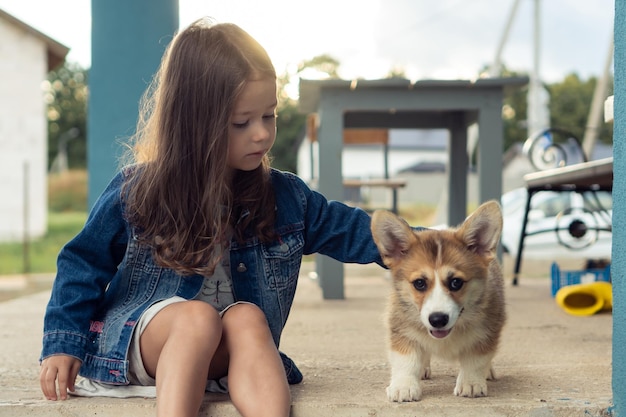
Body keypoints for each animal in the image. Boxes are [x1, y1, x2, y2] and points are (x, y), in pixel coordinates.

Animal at [368, 200, 504, 402]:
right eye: (419, 283)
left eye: (456, 282)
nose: (438, 320)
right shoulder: (402, 330)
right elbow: (406, 361)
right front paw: (403, 386)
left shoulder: (486, 331)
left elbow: (475, 360)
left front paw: (471, 383)